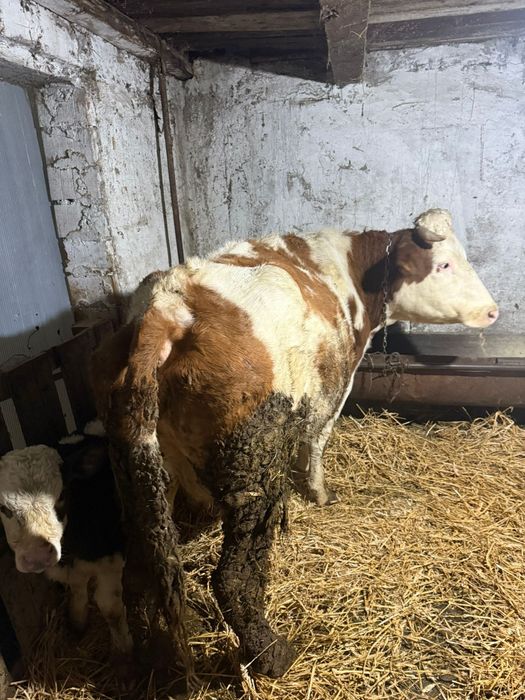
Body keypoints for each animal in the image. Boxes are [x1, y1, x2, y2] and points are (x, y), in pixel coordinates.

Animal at [0, 424, 130, 656]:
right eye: (3, 508)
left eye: (61, 495)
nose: (37, 556)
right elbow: (78, 592)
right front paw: (77, 624)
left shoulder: (111, 559)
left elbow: (110, 609)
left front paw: (126, 651)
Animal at [92, 208, 498, 677]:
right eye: (444, 264)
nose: (492, 311)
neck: (343, 268)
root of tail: (168, 306)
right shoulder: (332, 390)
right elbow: (316, 444)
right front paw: (321, 494)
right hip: (253, 472)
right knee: (231, 578)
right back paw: (272, 654)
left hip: (138, 470)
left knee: (139, 573)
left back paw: (151, 663)